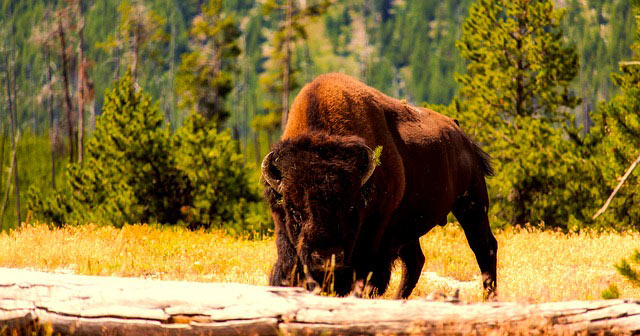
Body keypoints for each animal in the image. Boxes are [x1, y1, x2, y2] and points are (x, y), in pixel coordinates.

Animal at [262, 73, 498, 300]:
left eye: (350, 208)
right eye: (294, 211)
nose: (326, 259)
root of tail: (461, 134)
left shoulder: (376, 236)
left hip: (472, 204)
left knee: (484, 247)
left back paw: (489, 297)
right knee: (415, 261)